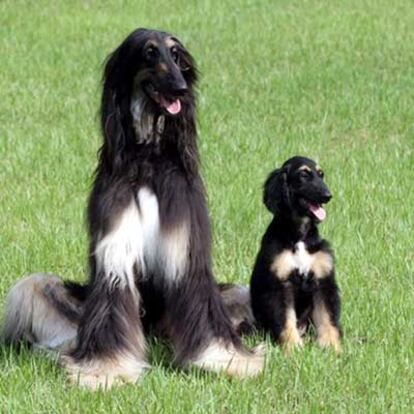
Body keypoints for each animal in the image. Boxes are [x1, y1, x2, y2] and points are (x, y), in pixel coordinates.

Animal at [0, 29, 262, 388]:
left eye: (176, 54)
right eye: (149, 53)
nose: (181, 87)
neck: (148, 158)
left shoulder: (186, 248)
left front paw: (225, 359)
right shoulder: (116, 249)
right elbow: (112, 306)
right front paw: (106, 369)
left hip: (237, 292)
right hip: (41, 291)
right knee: (38, 290)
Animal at [251, 156, 342, 352]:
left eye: (321, 174)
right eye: (303, 174)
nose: (327, 196)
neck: (299, 237)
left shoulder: (323, 281)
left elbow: (327, 318)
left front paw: (332, 348)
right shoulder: (280, 284)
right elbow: (286, 320)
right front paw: (293, 348)